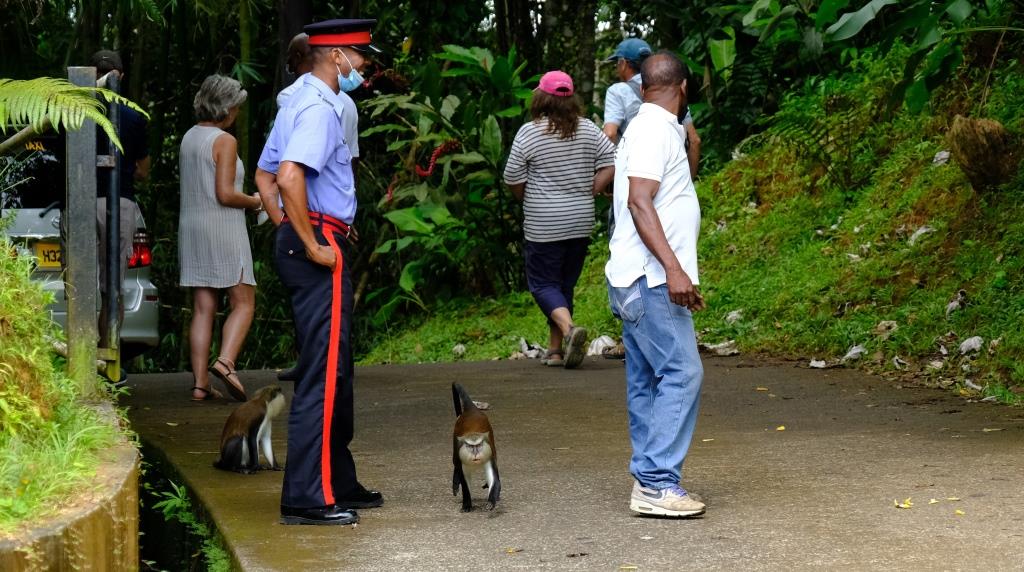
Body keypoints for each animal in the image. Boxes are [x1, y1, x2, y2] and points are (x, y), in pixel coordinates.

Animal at [451, 383, 501, 512]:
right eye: (470, 446)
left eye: (479, 445)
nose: (475, 453)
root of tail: (471, 409)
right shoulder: (462, 458)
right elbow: (465, 483)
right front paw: (467, 505)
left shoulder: (489, 456)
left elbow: (495, 480)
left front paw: (491, 502)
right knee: (455, 463)